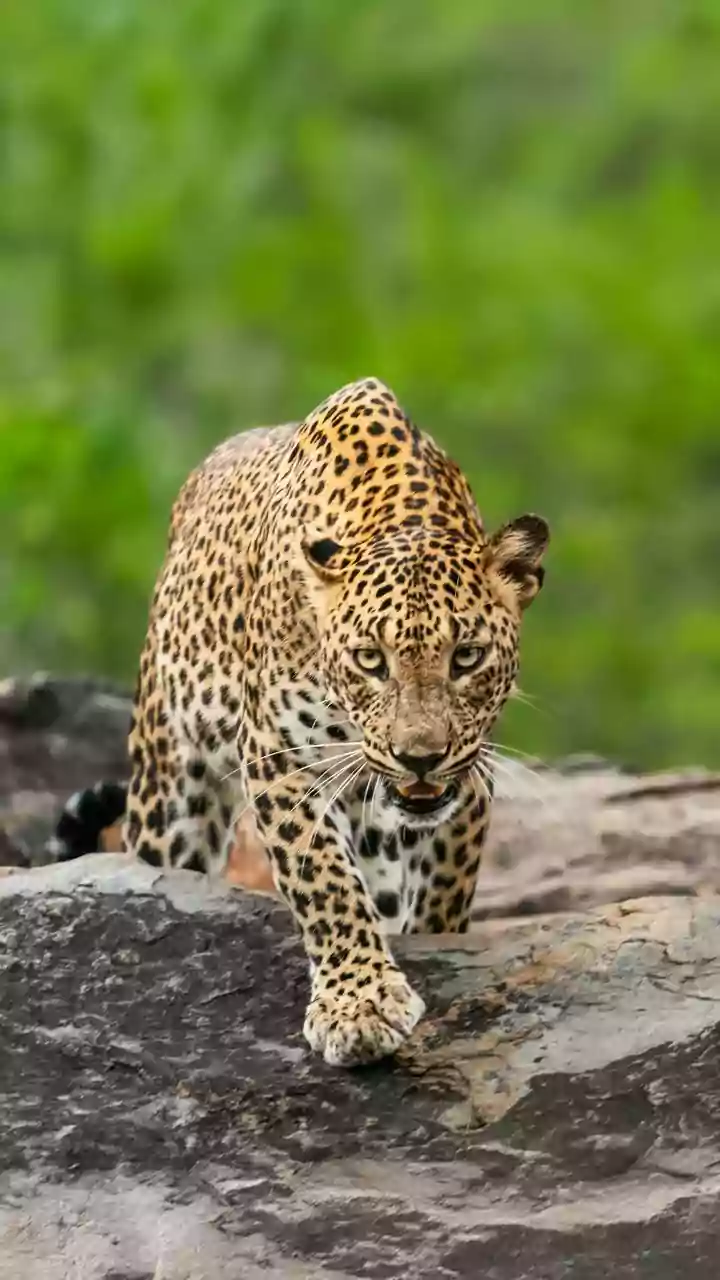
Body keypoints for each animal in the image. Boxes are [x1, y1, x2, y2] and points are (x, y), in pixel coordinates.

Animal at [49, 377, 549, 1067]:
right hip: (168, 792)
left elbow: (443, 890)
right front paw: (359, 1006)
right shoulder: (278, 753)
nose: (419, 757)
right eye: (371, 660)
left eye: (466, 656)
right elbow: (324, 880)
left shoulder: (469, 774)